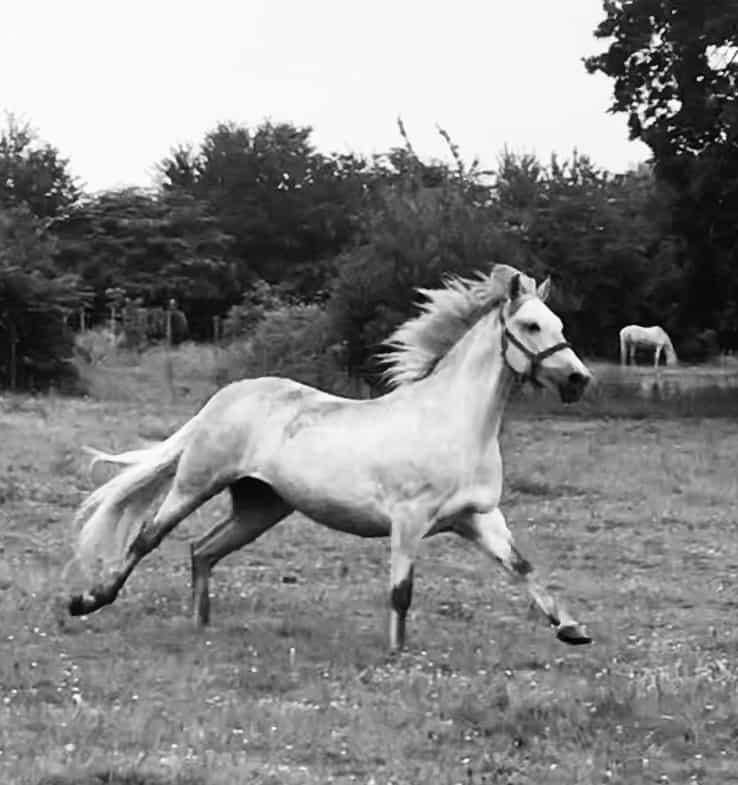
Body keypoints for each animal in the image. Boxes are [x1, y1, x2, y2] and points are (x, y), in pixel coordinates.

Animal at [66, 264, 593, 650]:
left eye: (560, 325)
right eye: (530, 325)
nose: (578, 380)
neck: (454, 424)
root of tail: (226, 398)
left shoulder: (478, 517)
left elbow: (522, 567)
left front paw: (572, 629)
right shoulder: (410, 520)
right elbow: (401, 592)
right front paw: (396, 654)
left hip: (262, 506)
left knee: (202, 549)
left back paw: (201, 625)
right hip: (196, 483)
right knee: (148, 536)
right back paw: (88, 601)